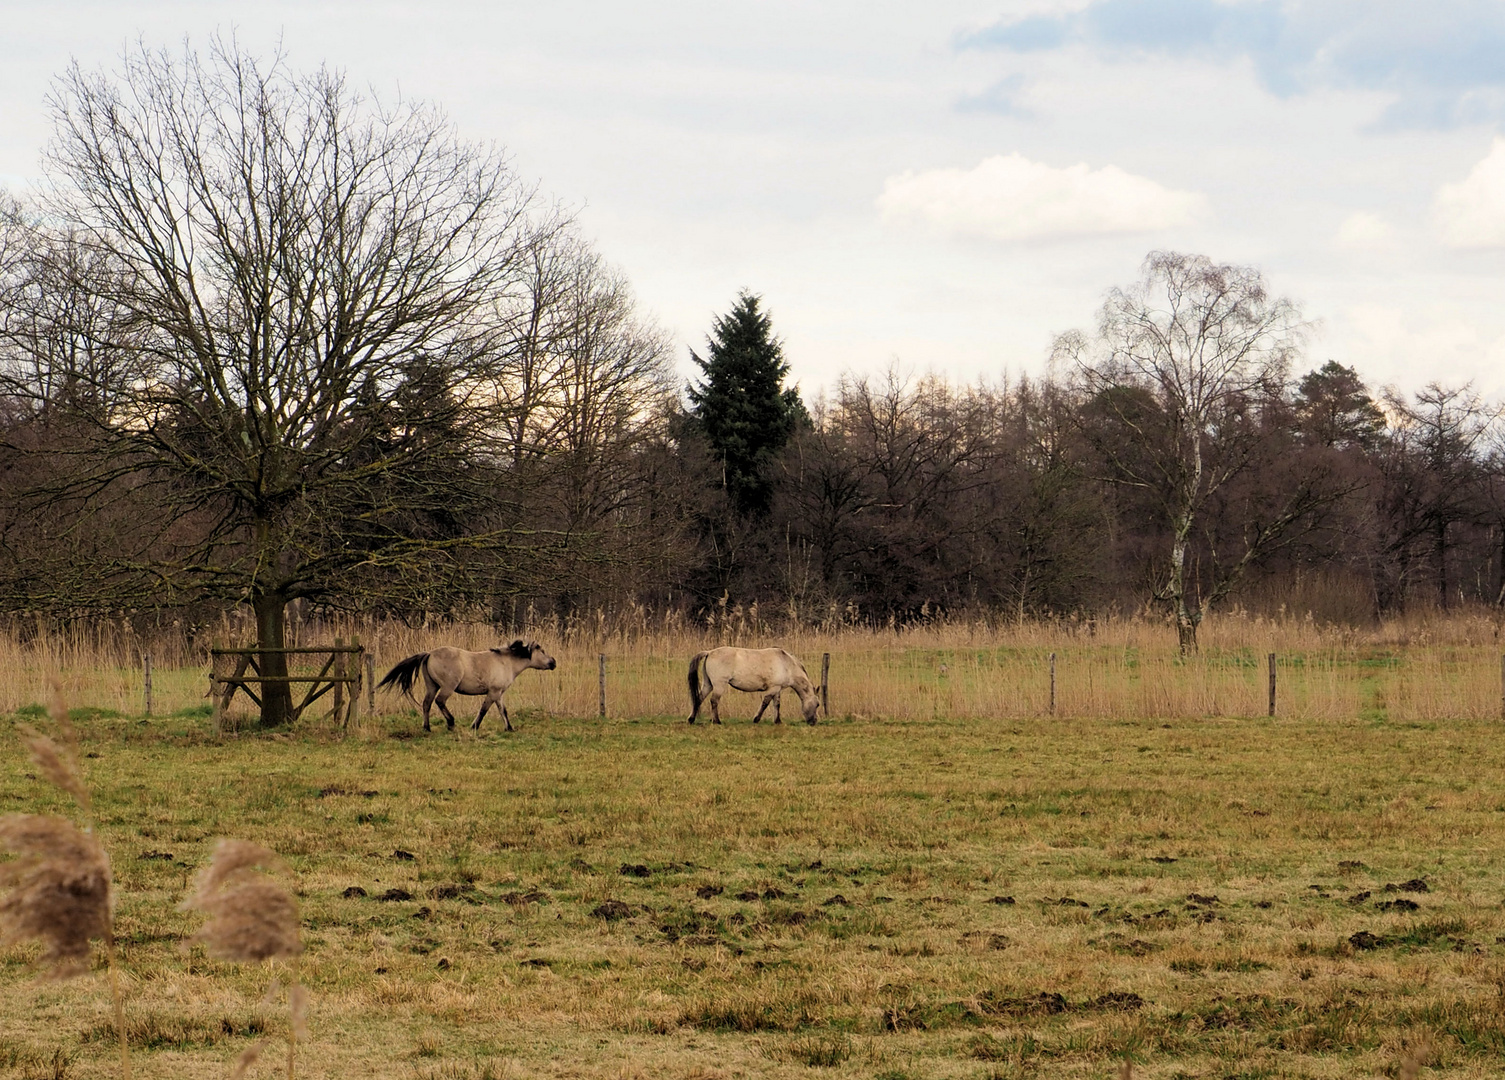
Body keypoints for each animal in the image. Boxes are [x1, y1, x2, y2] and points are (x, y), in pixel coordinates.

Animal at [379, 643, 556, 737]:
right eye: (542, 651)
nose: (553, 662)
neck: (506, 662)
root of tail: (429, 653)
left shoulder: (499, 694)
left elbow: (503, 711)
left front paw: (509, 728)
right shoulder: (493, 693)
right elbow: (483, 710)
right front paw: (474, 726)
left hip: (432, 686)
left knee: (426, 704)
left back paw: (427, 728)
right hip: (447, 687)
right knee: (439, 701)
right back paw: (451, 723)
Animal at [686, 652, 818, 728]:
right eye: (817, 704)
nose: (814, 721)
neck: (786, 664)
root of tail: (710, 652)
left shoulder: (777, 689)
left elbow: (777, 704)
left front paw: (778, 721)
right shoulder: (773, 688)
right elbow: (765, 703)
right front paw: (756, 719)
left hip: (708, 685)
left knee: (698, 699)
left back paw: (691, 719)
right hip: (719, 685)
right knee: (714, 701)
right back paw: (717, 721)